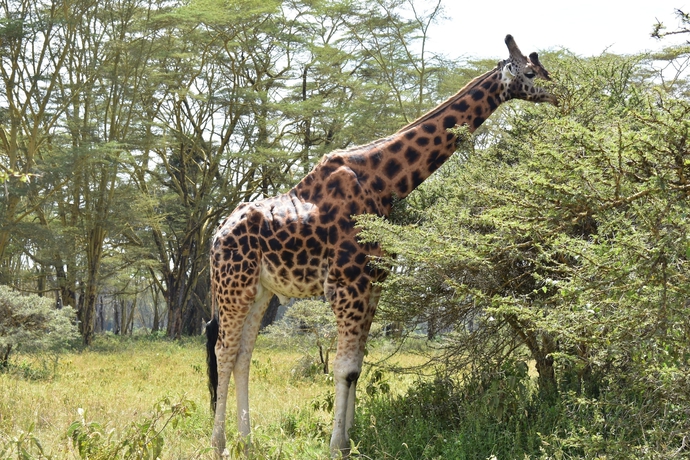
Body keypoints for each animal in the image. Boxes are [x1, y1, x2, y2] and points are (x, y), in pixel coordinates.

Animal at [207, 33, 556, 456]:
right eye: (530, 72)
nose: (560, 93)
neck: (383, 183)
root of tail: (216, 235)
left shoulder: (374, 284)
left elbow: (357, 366)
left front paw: (350, 439)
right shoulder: (347, 284)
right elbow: (345, 367)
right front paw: (336, 446)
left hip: (260, 290)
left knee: (244, 354)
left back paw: (248, 441)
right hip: (233, 284)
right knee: (224, 352)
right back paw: (221, 444)